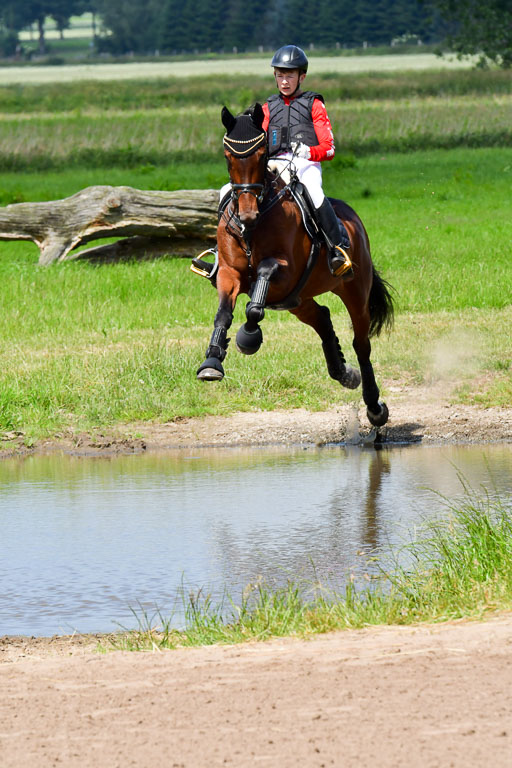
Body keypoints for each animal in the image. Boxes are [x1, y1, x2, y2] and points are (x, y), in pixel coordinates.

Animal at [196, 103, 394, 429]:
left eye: (261, 154)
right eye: (228, 156)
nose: (247, 215)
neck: (253, 227)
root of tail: (352, 218)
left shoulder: (284, 273)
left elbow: (256, 300)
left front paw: (248, 338)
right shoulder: (229, 273)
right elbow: (223, 313)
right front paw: (212, 361)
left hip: (353, 290)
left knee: (361, 344)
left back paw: (374, 406)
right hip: (296, 300)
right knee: (322, 317)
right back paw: (343, 373)